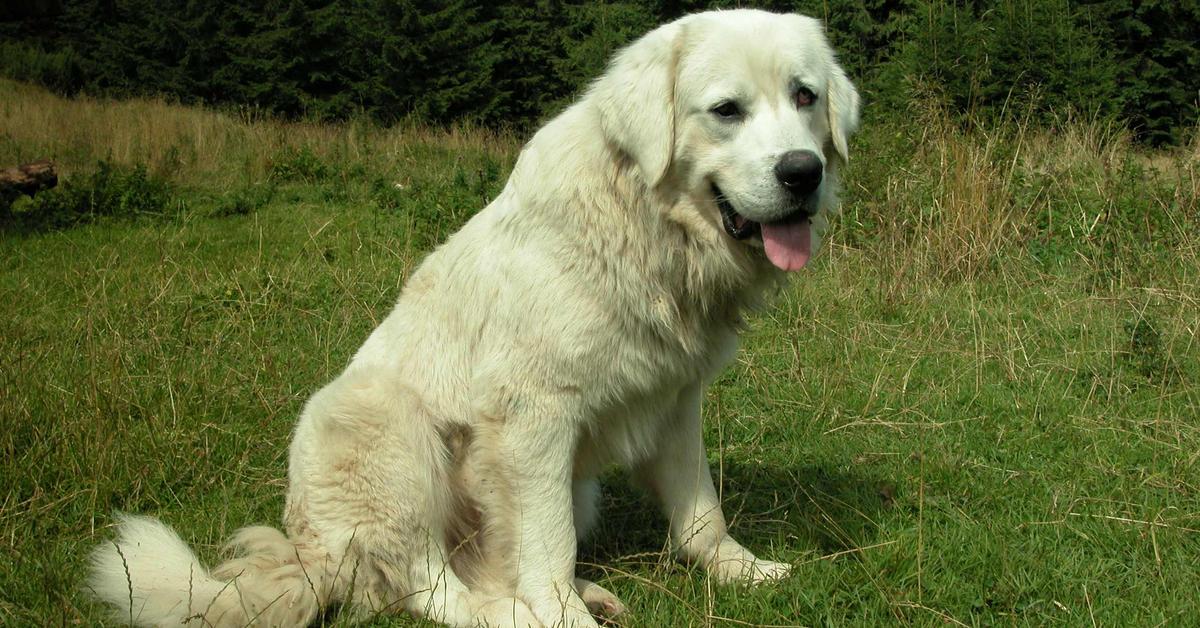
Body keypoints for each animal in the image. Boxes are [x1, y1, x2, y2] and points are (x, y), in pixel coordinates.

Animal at [96, 11, 854, 628]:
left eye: (805, 96)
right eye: (726, 110)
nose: (802, 172)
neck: (650, 227)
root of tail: (308, 551)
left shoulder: (675, 399)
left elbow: (700, 513)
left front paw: (743, 572)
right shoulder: (535, 417)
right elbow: (547, 545)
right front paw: (561, 618)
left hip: (567, 485)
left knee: (481, 568)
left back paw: (588, 595)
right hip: (383, 424)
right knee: (427, 585)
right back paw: (519, 612)